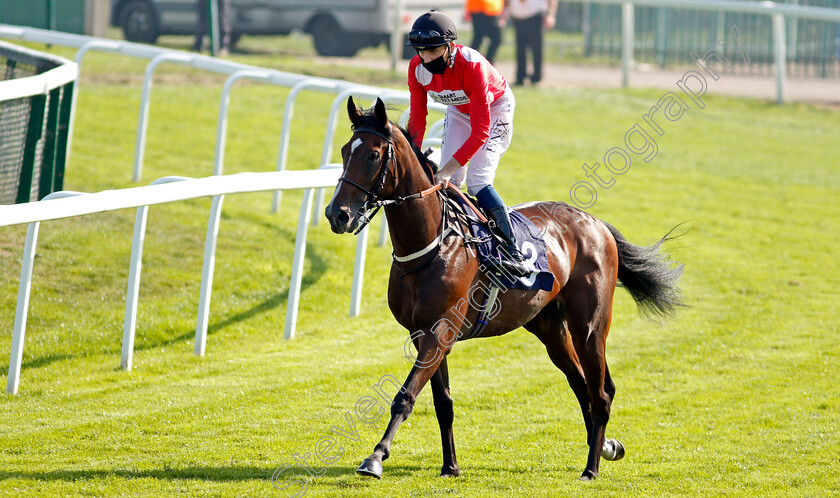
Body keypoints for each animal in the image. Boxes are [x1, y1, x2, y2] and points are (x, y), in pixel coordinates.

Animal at [324, 95, 684, 480]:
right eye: (345, 150)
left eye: (373, 155)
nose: (337, 214)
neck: (431, 244)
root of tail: (596, 222)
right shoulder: (422, 334)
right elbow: (442, 402)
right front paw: (450, 465)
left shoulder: (440, 330)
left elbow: (405, 396)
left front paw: (375, 457)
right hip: (548, 326)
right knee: (582, 384)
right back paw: (603, 447)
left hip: (590, 326)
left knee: (600, 393)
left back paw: (591, 468)